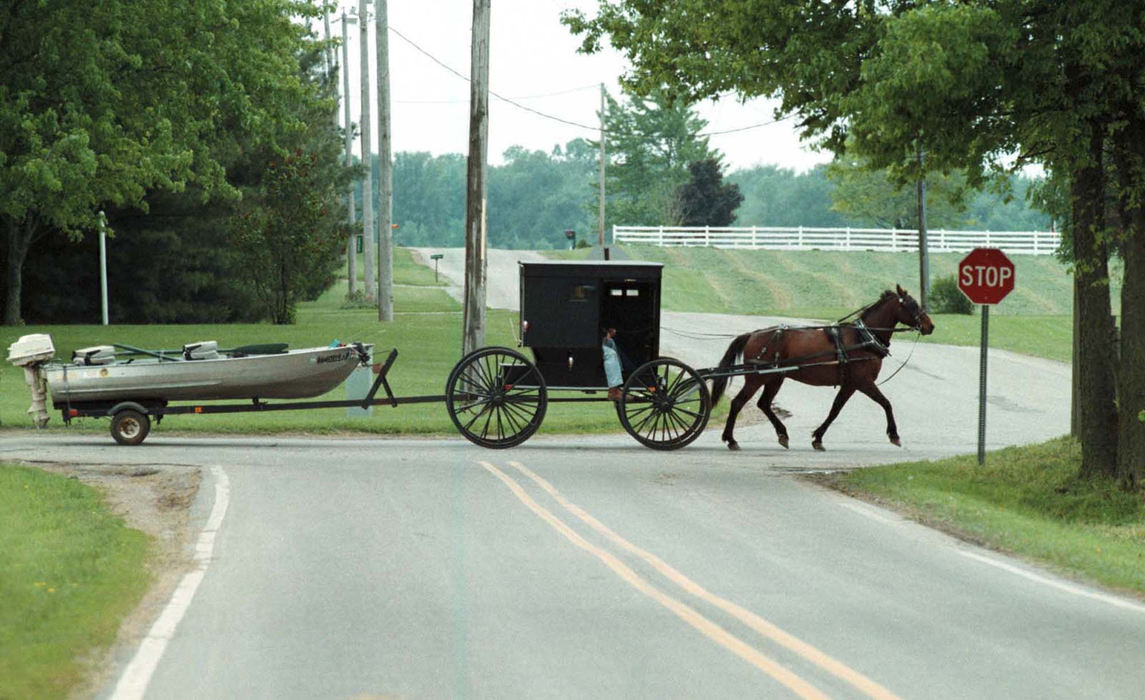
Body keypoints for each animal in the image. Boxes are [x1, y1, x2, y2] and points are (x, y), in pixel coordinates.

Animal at [705, 287, 938, 451]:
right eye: (913, 305)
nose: (930, 326)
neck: (862, 338)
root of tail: (753, 334)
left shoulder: (850, 384)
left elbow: (835, 410)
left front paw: (818, 437)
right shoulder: (863, 381)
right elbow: (886, 403)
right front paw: (894, 435)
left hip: (775, 377)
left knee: (763, 404)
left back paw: (782, 434)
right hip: (756, 378)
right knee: (737, 403)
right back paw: (731, 439)